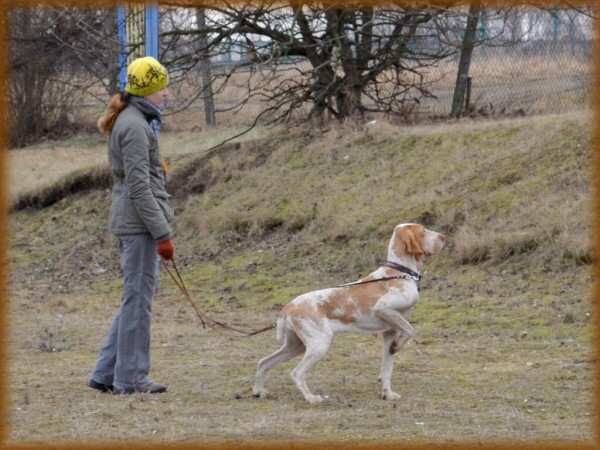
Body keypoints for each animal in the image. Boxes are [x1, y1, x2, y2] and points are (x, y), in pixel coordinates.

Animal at [252, 223, 446, 402]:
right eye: (423, 231)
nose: (443, 237)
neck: (400, 272)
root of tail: (288, 306)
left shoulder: (390, 332)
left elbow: (387, 369)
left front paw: (388, 394)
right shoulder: (384, 309)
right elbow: (410, 330)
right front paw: (398, 346)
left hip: (296, 346)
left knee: (264, 362)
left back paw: (258, 391)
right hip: (319, 344)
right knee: (297, 373)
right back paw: (311, 398)